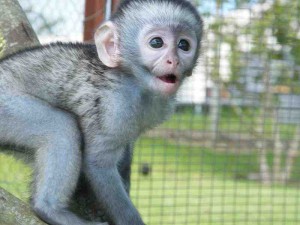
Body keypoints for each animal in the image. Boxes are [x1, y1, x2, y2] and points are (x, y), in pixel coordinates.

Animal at [0, 0, 204, 225]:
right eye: (157, 43)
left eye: (184, 45)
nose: (174, 61)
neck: (134, 80)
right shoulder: (117, 103)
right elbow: (98, 163)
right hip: (7, 104)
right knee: (61, 126)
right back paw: (49, 209)